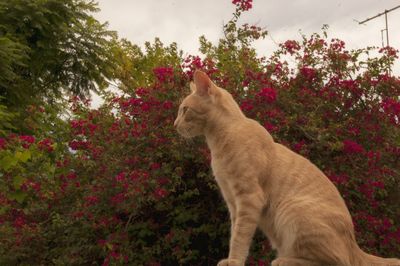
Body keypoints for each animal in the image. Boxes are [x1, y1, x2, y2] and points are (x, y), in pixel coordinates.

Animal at [173, 70, 398, 266]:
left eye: (184, 110)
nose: (174, 125)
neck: (220, 140)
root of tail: (355, 246)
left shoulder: (248, 197)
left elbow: (240, 237)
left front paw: (234, 261)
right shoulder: (233, 202)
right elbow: (234, 233)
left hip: (291, 209)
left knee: (337, 261)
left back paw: (283, 260)